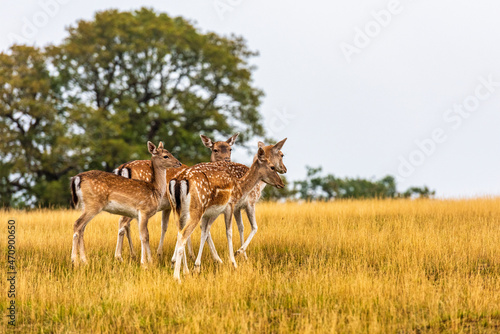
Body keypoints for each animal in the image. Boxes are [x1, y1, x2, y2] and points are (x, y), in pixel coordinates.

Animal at [169, 146, 286, 282]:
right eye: (272, 167)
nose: (281, 183)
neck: (240, 187)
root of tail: (178, 181)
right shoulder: (230, 205)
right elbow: (229, 232)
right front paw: (234, 263)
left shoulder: (211, 212)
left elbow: (205, 232)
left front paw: (197, 267)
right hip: (196, 210)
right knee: (183, 236)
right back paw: (177, 277)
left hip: (176, 210)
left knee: (179, 234)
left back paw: (184, 270)